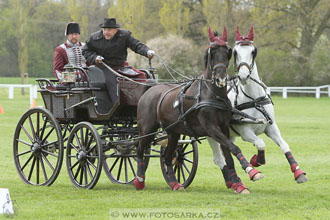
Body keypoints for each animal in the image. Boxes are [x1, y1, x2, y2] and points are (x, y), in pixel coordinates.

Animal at [134, 27, 262, 192]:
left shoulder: (223, 128)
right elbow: (234, 148)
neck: (213, 95)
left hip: (173, 132)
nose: (221, 79)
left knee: (167, 157)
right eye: (212, 53)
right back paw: (139, 179)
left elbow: (228, 155)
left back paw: (175, 183)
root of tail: (149, 90)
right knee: (139, 149)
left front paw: (238, 184)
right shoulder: (211, 128)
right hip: (147, 129)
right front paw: (251, 170)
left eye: (227, 52)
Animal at [208, 25, 308, 192]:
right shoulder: (245, 132)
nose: (243, 76)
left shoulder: (271, 126)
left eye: (253, 51)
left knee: (226, 153)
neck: (254, 99)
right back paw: (236, 179)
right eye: (235, 52)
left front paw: (298, 172)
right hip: (211, 133)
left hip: (228, 134)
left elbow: (284, 145)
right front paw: (256, 161)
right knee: (219, 158)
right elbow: (261, 143)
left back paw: (232, 181)